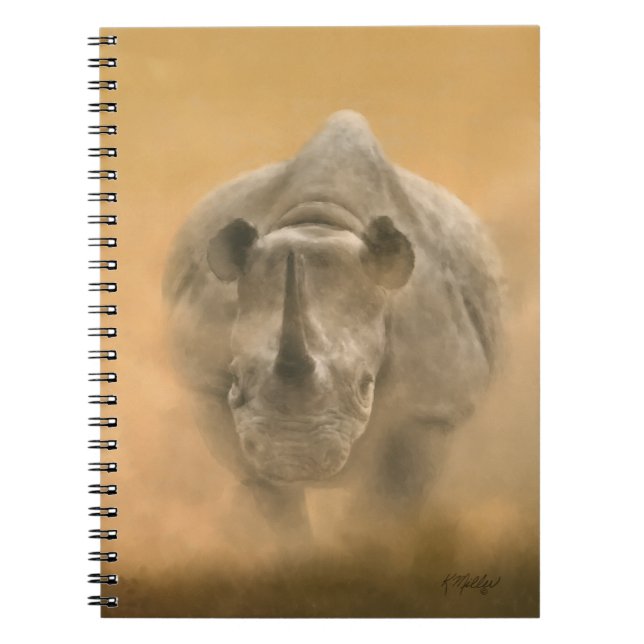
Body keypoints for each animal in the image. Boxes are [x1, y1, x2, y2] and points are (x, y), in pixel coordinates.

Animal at [163, 111, 503, 534]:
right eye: (236, 376)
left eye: (365, 385)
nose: (291, 457)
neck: (320, 223)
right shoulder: (207, 384)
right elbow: (274, 501)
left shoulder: (433, 407)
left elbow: (388, 501)